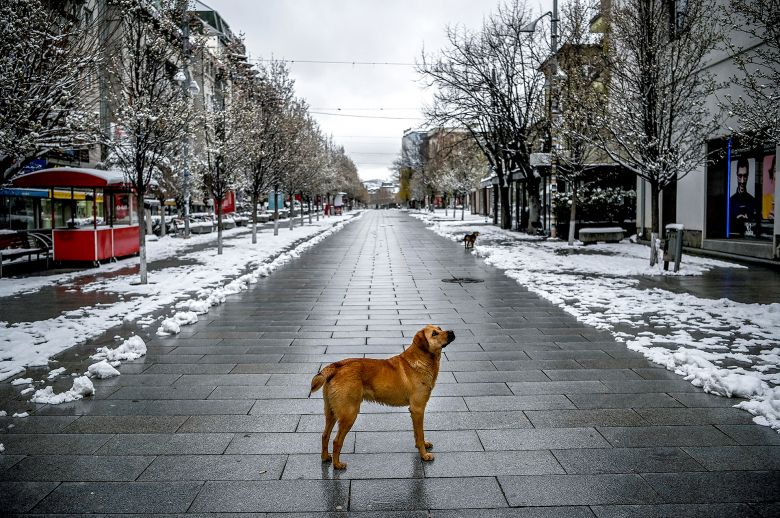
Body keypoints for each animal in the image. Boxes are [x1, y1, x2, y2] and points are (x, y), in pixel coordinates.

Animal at [310, 324, 458, 472]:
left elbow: (417, 434)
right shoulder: (418, 409)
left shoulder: (415, 411)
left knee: (325, 435)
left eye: (440, 328)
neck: (422, 359)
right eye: (434, 334)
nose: (451, 331)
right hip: (349, 414)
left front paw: (421, 446)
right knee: (336, 441)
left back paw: (325, 457)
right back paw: (337, 464)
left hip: (331, 412)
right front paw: (424, 455)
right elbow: (420, 434)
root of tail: (336, 366)